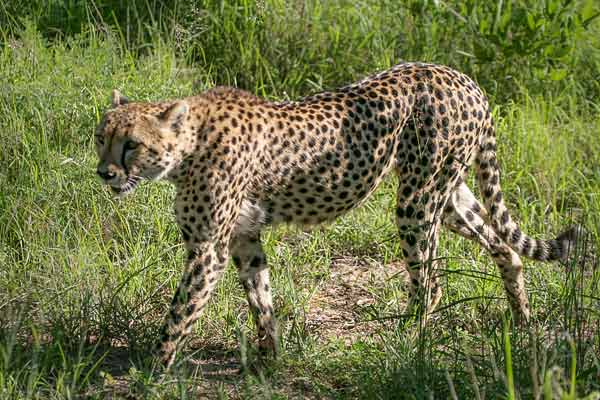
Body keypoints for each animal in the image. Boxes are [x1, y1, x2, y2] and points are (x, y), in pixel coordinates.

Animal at [95, 61, 580, 366]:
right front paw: (270, 359)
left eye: (131, 144)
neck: (188, 146)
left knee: (432, 282)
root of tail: (461, 76)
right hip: (449, 195)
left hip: (417, 201)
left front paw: (152, 368)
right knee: (504, 247)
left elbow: (180, 311)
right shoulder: (243, 237)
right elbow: (260, 297)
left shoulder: (207, 248)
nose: (103, 173)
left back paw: (407, 340)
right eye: (101, 137)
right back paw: (521, 324)